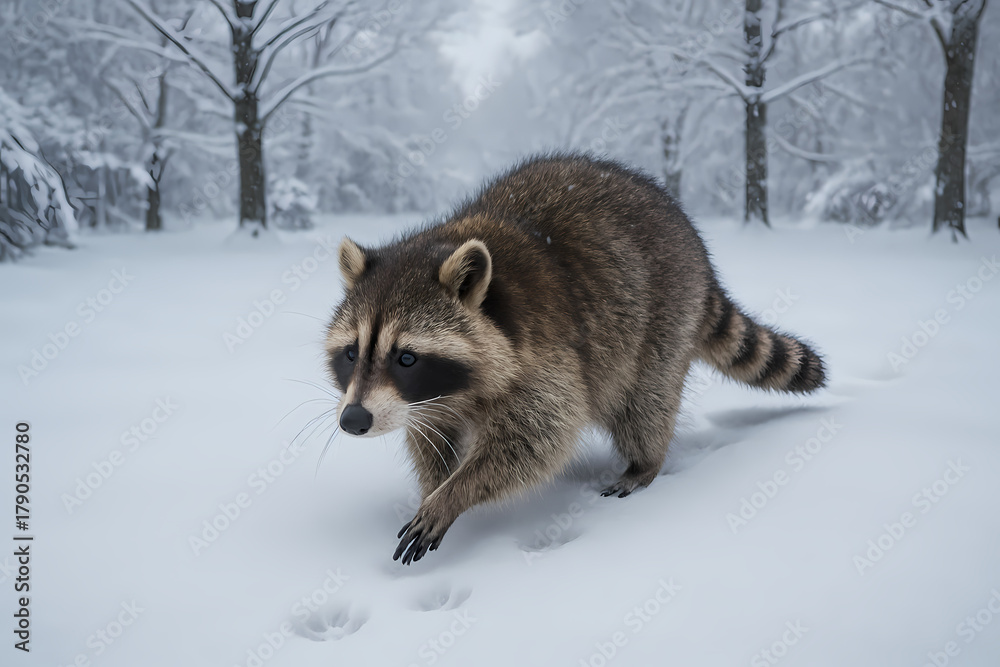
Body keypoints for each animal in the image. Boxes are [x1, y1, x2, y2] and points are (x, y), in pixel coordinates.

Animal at [325, 153, 825, 564]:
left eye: (406, 358)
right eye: (352, 353)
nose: (353, 420)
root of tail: (699, 254)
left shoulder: (546, 357)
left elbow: (539, 440)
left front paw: (456, 492)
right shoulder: (429, 401)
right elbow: (432, 438)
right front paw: (435, 485)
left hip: (662, 319)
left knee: (644, 402)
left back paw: (645, 462)